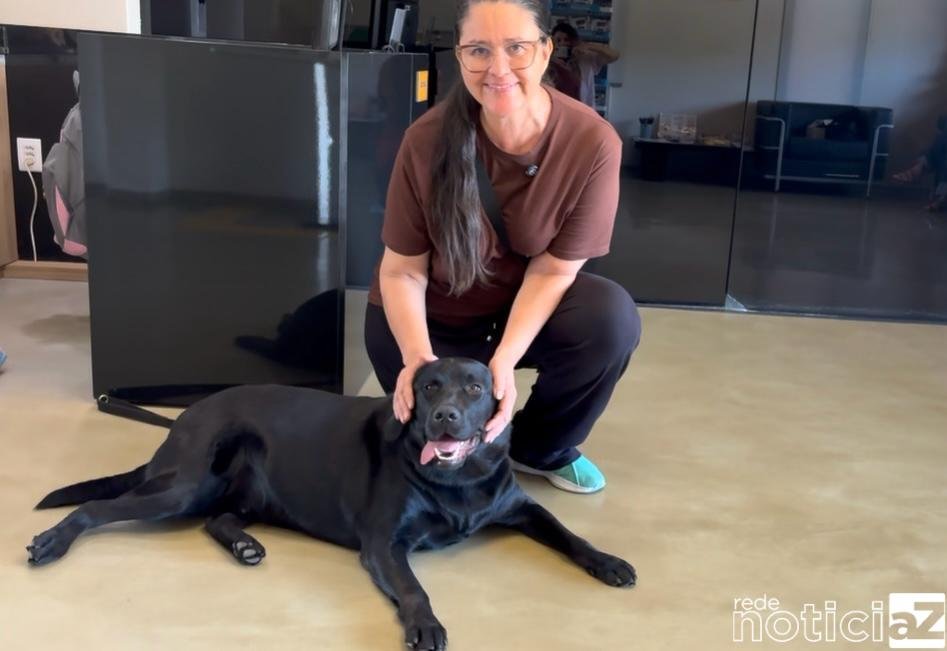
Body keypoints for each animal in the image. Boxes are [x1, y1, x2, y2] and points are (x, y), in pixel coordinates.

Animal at [28, 357, 635, 650]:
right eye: (430, 387)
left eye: (474, 389)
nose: (445, 417)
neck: (457, 479)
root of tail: (182, 417)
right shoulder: (384, 543)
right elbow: (413, 587)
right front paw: (425, 625)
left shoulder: (520, 508)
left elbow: (569, 534)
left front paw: (608, 561)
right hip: (186, 484)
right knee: (101, 509)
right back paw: (52, 541)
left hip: (241, 494)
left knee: (218, 520)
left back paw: (245, 546)